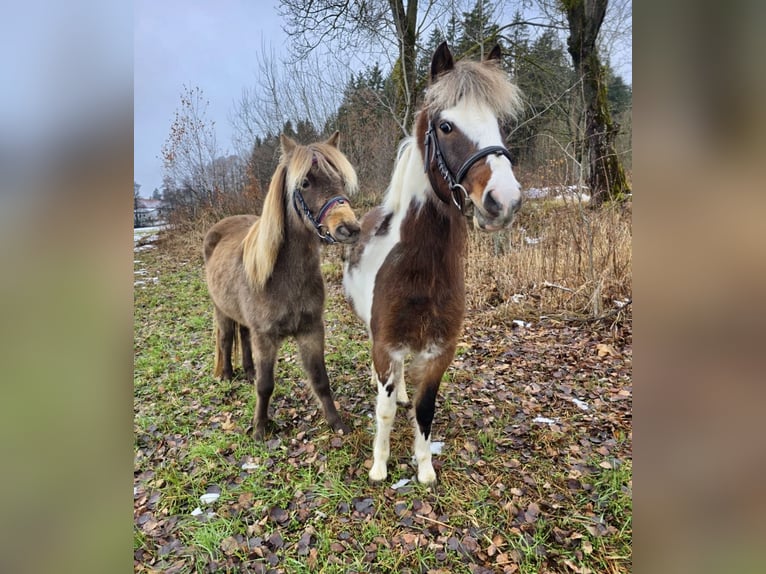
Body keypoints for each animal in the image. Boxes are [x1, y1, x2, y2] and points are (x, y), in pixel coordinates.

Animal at [204, 132, 360, 439]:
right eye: (305, 182)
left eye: (340, 178)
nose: (349, 228)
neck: (284, 277)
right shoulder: (265, 336)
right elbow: (265, 385)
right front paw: (259, 429)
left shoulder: (311, 331)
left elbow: (320, 379)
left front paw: (336, 423)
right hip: (221, 309)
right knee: (226, 338)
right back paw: (227, 375)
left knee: (242, 336)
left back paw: (248, 371)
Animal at [343, 42, 524, 485]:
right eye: (446, 126)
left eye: (499, 125)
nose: (504, 201)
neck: (417, 270)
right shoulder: (385, 344)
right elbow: (384, 411)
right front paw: (379, 467)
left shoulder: (439, 350)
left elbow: (424, 409)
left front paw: (424, 469)